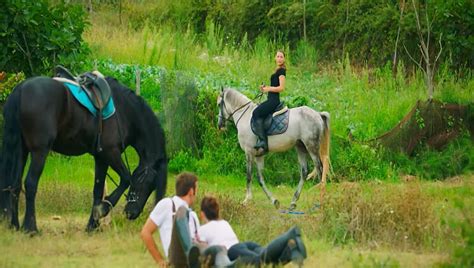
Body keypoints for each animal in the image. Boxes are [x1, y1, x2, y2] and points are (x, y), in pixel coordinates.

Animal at [0, 76, 167, 232]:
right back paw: (31, 228)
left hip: (22, 150)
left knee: (14, 184)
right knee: (30, 183)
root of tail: (21, 89)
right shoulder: (110, 153)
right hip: (39, 151)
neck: (123, 112)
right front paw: (102, 210)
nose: (132, 214)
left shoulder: (101, 158)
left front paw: (92, 225)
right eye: (148, 183)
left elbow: (98, 190)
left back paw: (15, 225)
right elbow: (127, 178)